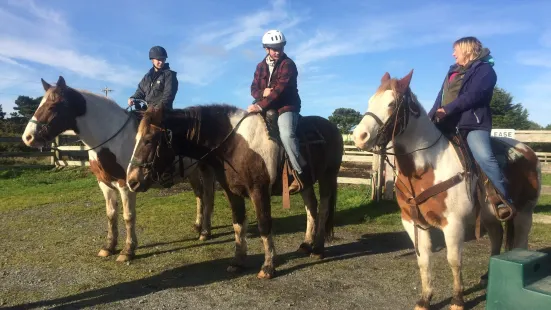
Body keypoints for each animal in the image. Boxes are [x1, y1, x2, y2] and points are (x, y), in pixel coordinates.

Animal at [21, 76, 217, 262]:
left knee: (207, 195)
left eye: (53, 105)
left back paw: (205, 231)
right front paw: (109, 247)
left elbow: (128, 216)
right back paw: (198, 226)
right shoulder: (105, 184)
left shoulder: (126, 185)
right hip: (191, 171)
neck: (111, 139)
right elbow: (111, 215)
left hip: (206, 169)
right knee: (199, 194)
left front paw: (128, 250)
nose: (27, 137)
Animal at [126, 103, 342, 278]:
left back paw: (318, 249)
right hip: (306, 182)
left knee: (323, 210)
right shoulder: (231, 192)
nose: (132, 181)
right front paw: (238, 261)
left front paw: (268, 266)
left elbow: (264, 225)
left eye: (148, 139)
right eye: (136, 138)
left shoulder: (259, 191)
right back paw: (306, 244)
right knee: (311, 208)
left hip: (328, 176)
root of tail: (333, 127)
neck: (234, 145)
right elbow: (238, 224)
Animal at [352, 71, 540, 310]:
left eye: (392, 104)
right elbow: (423, 259)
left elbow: (454, 260)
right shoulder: (412, 221)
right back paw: (488, 276)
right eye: (370, 101)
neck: (427, 166)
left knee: (520, 243)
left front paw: (458, 300)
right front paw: (425, 299)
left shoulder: (453, 223)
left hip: (525, 212)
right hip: (489, 215)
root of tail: (527, 151)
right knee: (496, 236)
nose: (359, 136)